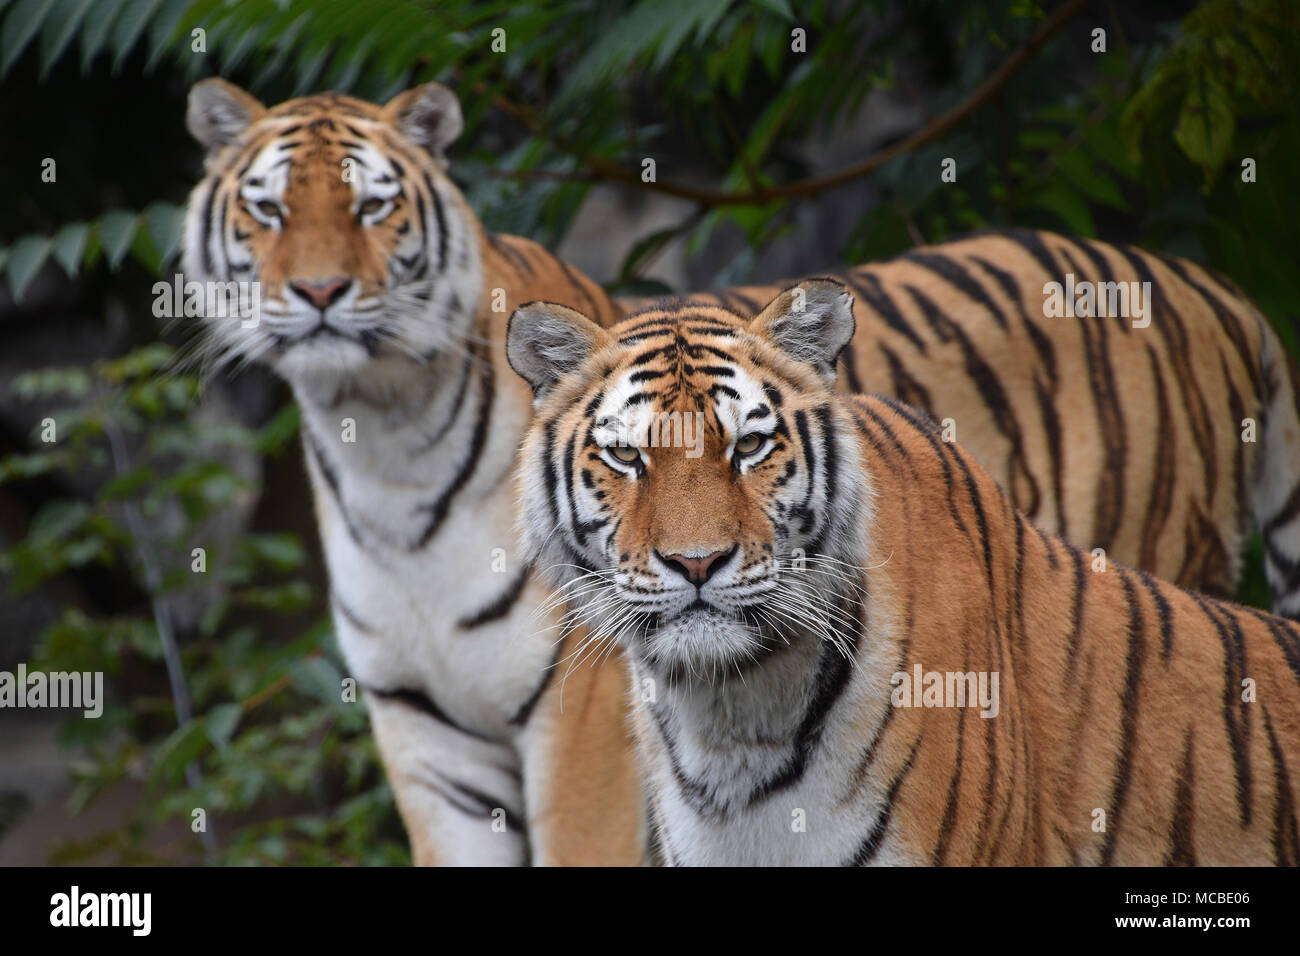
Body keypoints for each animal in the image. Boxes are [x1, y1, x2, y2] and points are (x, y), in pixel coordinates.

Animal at [183, 76, 644, 868]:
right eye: (270, 210)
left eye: (371, 207)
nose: (320, 291)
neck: (385, 443)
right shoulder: (426, 733)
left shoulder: (589, 718)